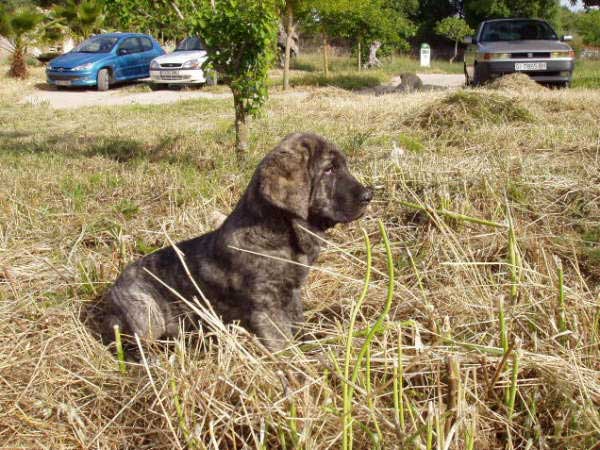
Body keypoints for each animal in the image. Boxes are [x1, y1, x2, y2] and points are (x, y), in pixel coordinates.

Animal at [104, 133, 376, 352]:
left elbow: (299, 323)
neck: (279, 234)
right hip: (147, 316)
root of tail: (114, 287)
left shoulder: (292, 293)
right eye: (329, 169)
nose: (368, 195)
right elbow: (283, 344)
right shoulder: (266, 309)